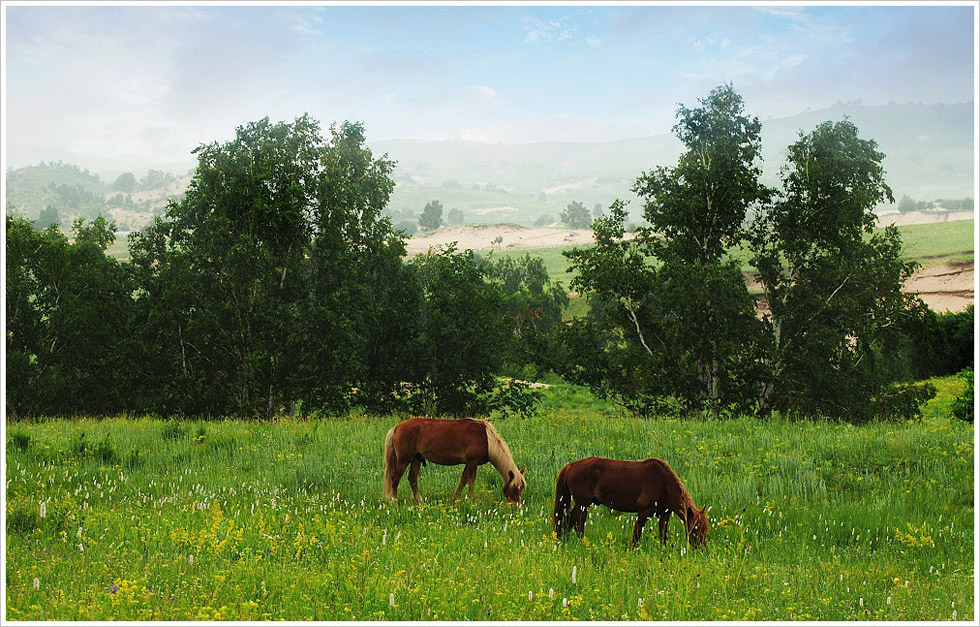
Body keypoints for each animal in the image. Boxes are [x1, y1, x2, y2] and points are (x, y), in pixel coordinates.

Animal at [380, 418, 524, 506]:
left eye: (521, 488)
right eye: (514, 487)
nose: (517, 505)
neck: (486, 439)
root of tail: (397, 427)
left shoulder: (468, 463)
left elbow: (463, 480)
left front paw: (456, 499)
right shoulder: (473, 462)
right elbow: (471, 482)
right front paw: (470, 501)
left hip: (416, 459)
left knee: (412, 479)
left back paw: (420, 501)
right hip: (404, 460)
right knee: (395, 479)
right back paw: (394, 501)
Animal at [556, 456, 708, 548]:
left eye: (705, 529)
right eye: (695, 528)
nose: (702, 549)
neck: (663, 484)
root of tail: (571, 465)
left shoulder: (665, 514)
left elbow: (663, 535)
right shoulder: (643, 512)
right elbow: (636, 535)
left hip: (582, 504)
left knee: (570, 520)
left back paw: (565, 541)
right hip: (582, 504)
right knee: (577, 522)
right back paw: (580, 543)